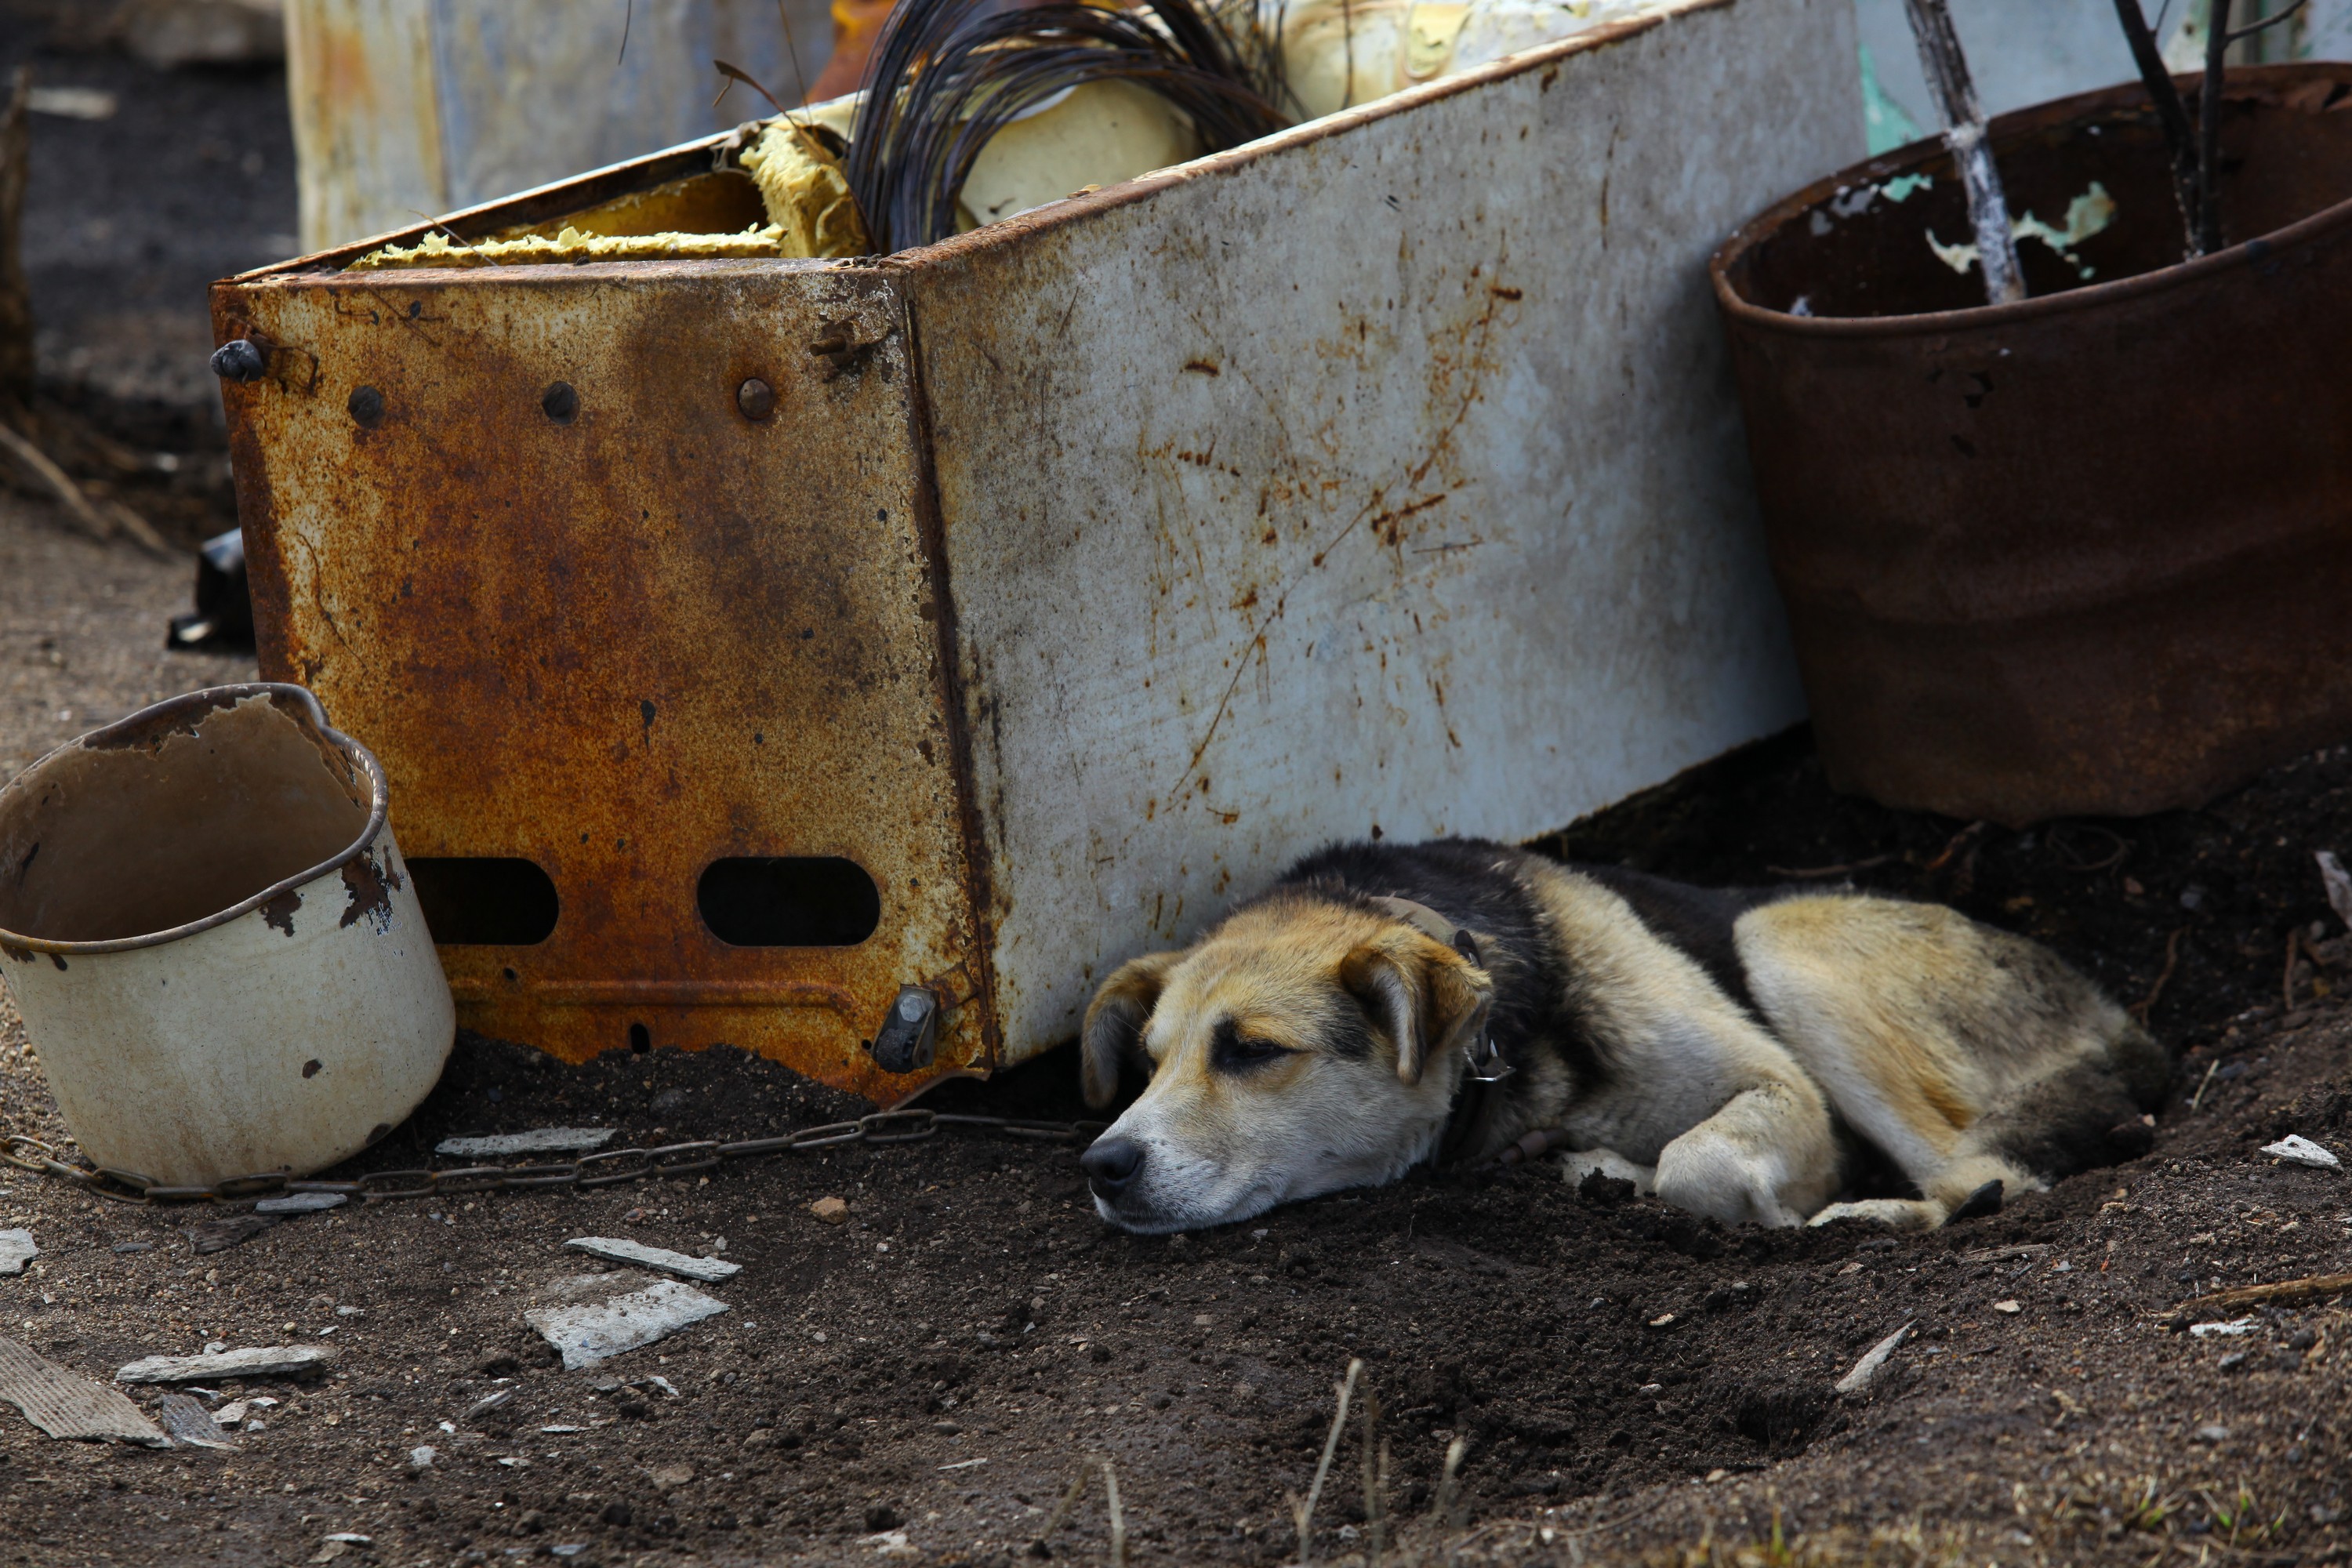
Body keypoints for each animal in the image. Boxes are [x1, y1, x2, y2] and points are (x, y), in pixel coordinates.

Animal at [1077, 841, 2154, 1232]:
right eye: (1148, 1062)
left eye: (1253, 1049)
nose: (1104, 1164)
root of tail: (2116, 1012)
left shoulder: (1783, 1086)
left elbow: (1700, 1162)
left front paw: (1783, 1209)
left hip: (1782, 939)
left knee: (1986, 1177)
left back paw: (1872, 1215)